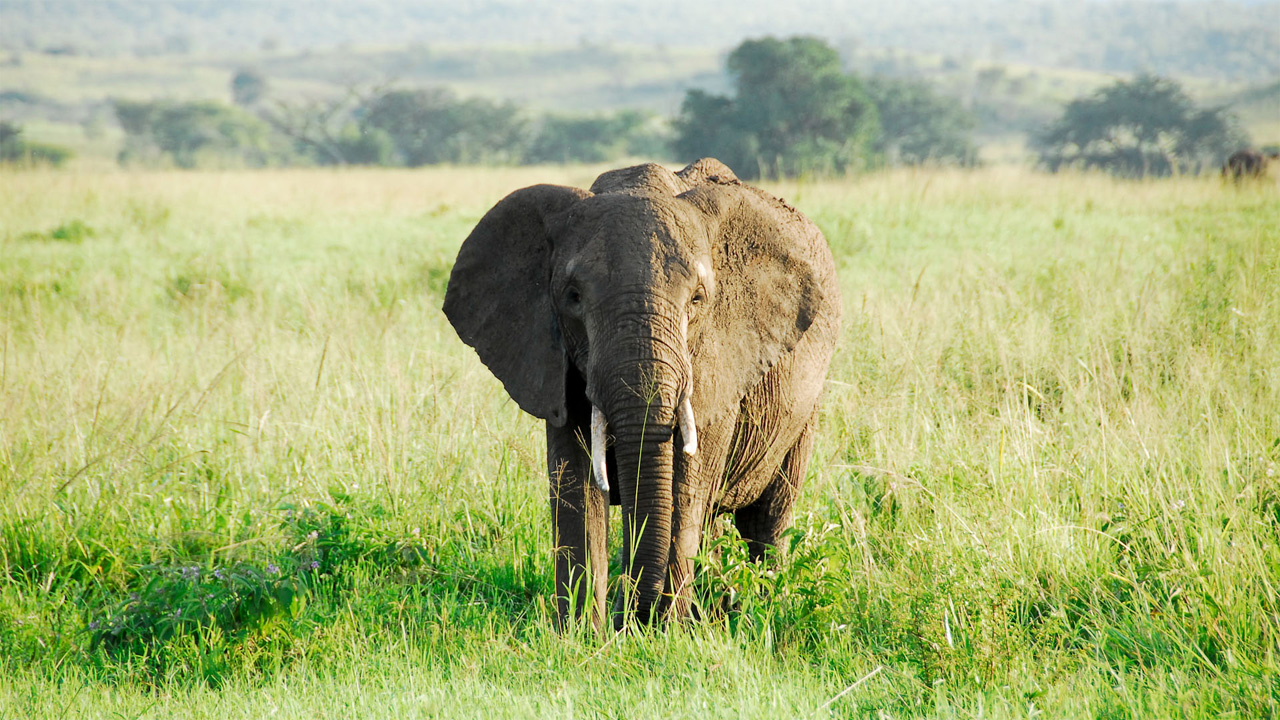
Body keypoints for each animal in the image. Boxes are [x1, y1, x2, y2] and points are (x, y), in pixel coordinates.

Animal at [445, 158, 844, 627]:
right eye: (572, 297)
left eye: (697, 299)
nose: (635, 614)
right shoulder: (553, 361)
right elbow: (576, 490)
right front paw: (581, 635)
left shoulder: (717, 365)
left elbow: (684, 489)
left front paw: (661, 631)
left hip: (805, 407)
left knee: (766, 518)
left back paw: (750, 611)